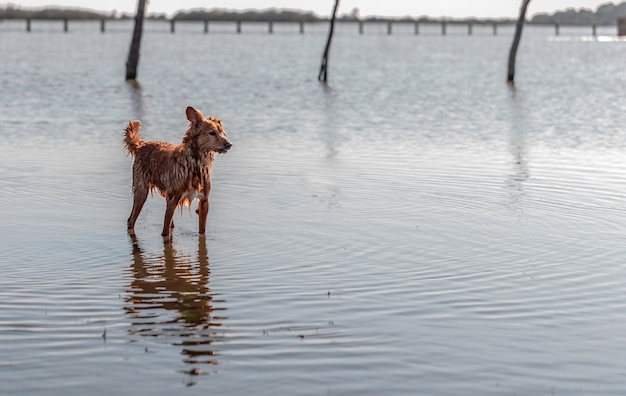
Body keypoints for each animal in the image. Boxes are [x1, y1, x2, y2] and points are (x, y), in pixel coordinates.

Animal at [123, 105, 230, 237]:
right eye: (212, 133)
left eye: (222, 132)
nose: (229, 144)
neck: (194, 164)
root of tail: (141, 146)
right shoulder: (173, 200)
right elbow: (165, 232)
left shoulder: (204, 201)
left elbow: (202, 231)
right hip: (141, 193)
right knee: (131, 220)